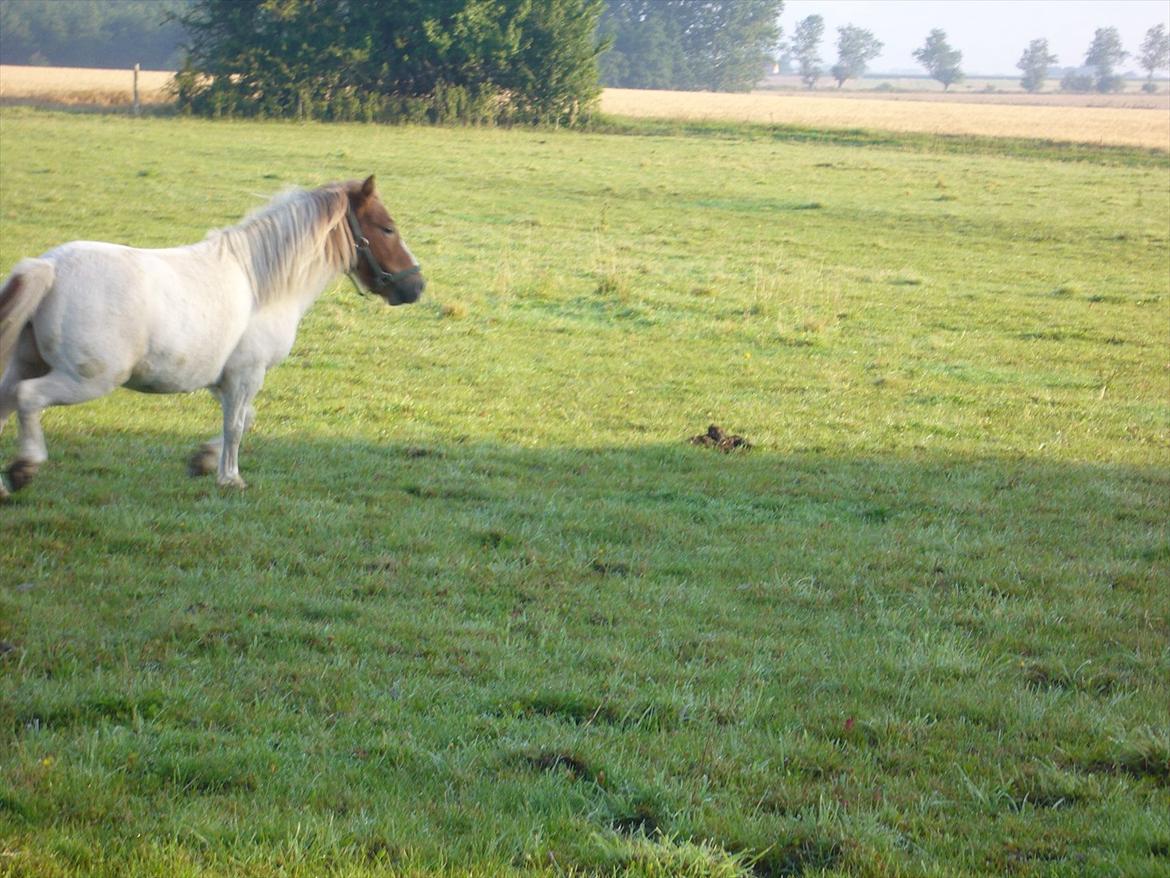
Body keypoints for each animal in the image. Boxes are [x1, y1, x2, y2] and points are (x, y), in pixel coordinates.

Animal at [0, 175, 425, 498]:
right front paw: (230, 478)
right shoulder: (247, 373)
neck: (260, 282)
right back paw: (24, 468)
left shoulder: (224, 379)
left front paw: (203, 460)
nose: (416, 285)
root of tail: (49, 266)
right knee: (29, 398)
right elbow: (235, 426)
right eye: (387, 228)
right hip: (89, 379)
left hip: (26, 363)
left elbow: (244, 419)